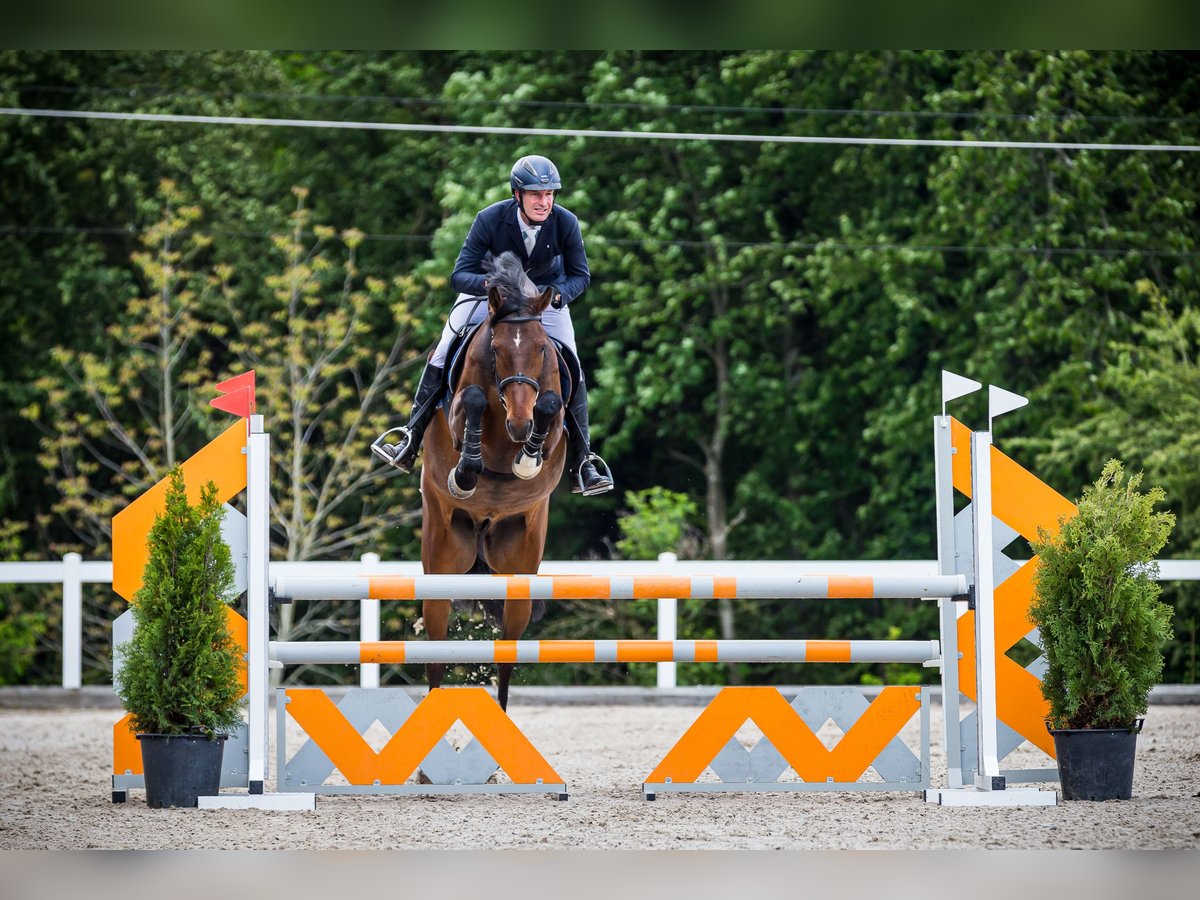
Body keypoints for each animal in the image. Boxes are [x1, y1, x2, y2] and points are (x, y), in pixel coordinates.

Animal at [420, 252, 568, 710]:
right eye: (497, 350)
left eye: (542, 349)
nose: (519, 425)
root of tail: (484, 527)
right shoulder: (455, 413)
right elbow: (471, 400)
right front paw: (467, 471)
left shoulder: (555, 419)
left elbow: (550, 404)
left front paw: (527, 459)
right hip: (442, 560)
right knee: (434, 654)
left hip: (518, 567)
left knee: (507, 656)